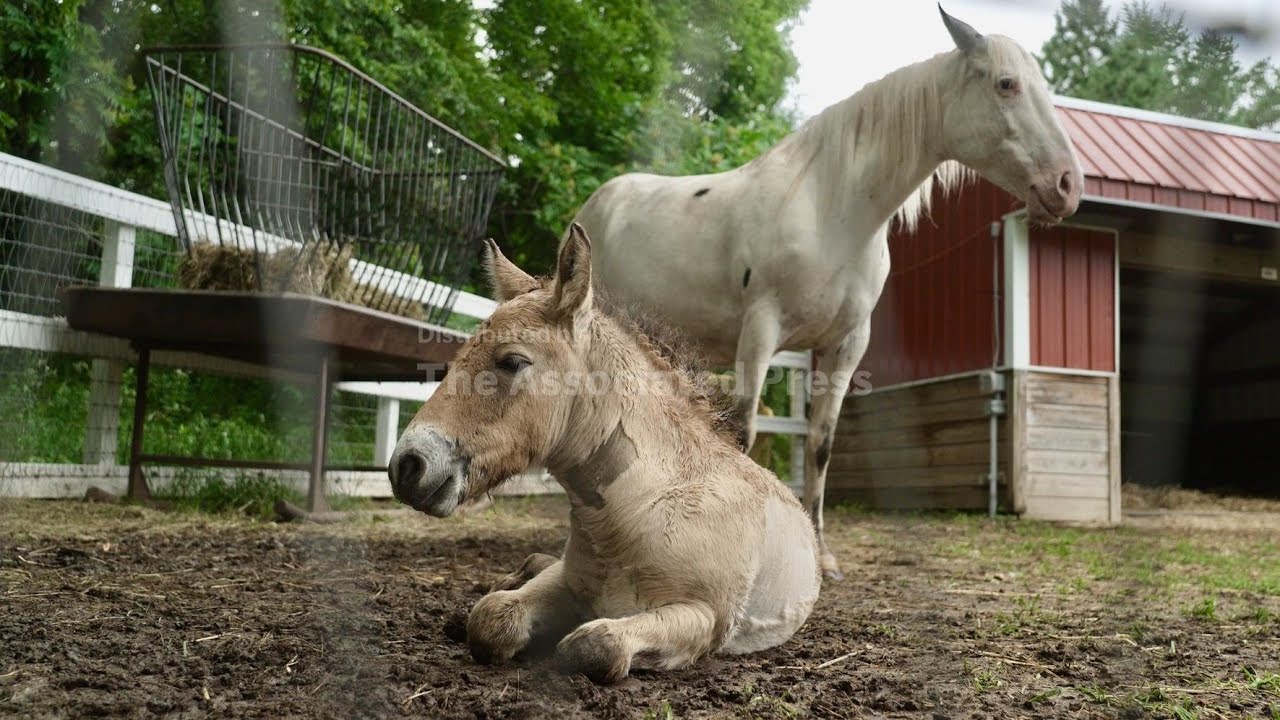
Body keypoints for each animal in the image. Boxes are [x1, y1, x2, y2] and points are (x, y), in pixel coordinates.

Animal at [387, 225, 821, 684]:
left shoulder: (705, 616)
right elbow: (490, 618)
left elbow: (595, 645)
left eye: (512, 361)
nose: (407, 465)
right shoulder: (567, 581)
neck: (638, 508)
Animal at [570, 6, 1083, 580]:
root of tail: (594, 206)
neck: (831, 210)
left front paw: (822, 555)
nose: (1067, 186)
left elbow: (821, 444)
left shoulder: (844, 344)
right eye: (1006, 84)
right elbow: (743, 434)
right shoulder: (761, 333)